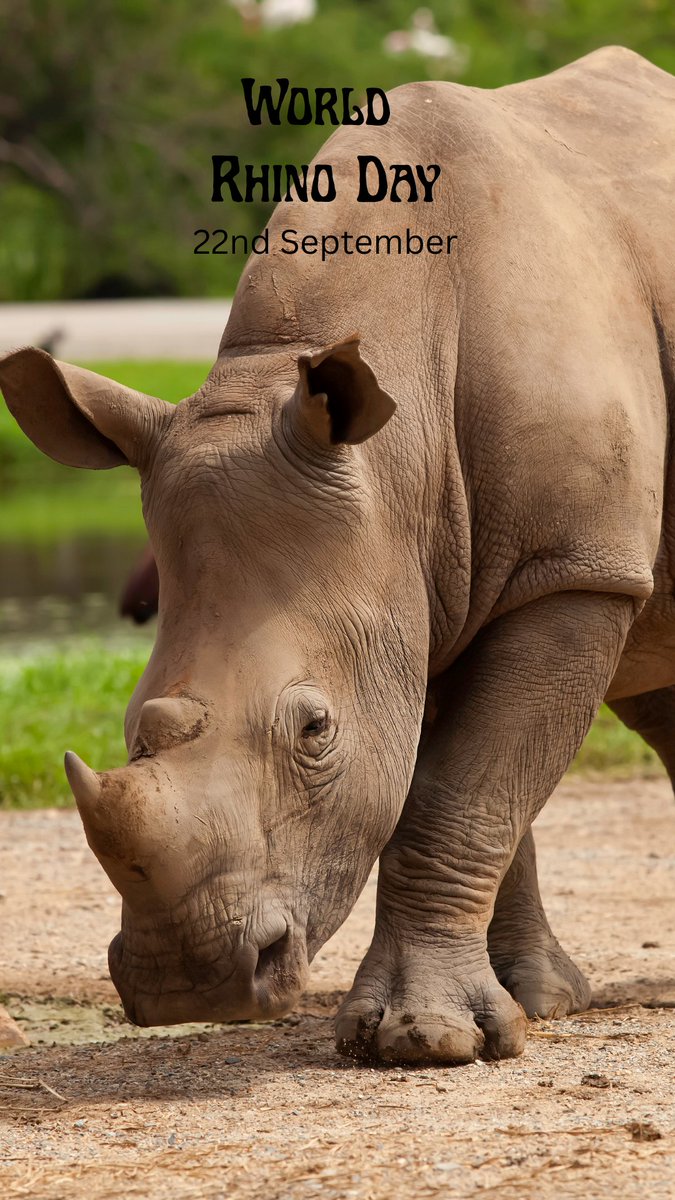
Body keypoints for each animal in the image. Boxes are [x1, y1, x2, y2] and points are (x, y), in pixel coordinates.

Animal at [1, 46, 673, 1065]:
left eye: (314, 730)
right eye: (129, 726)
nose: (188, 981)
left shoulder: (573, 570)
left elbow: (460, 792)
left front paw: (423, 1040)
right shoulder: (418, 578)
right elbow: (473, 790)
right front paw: (529, 1003)